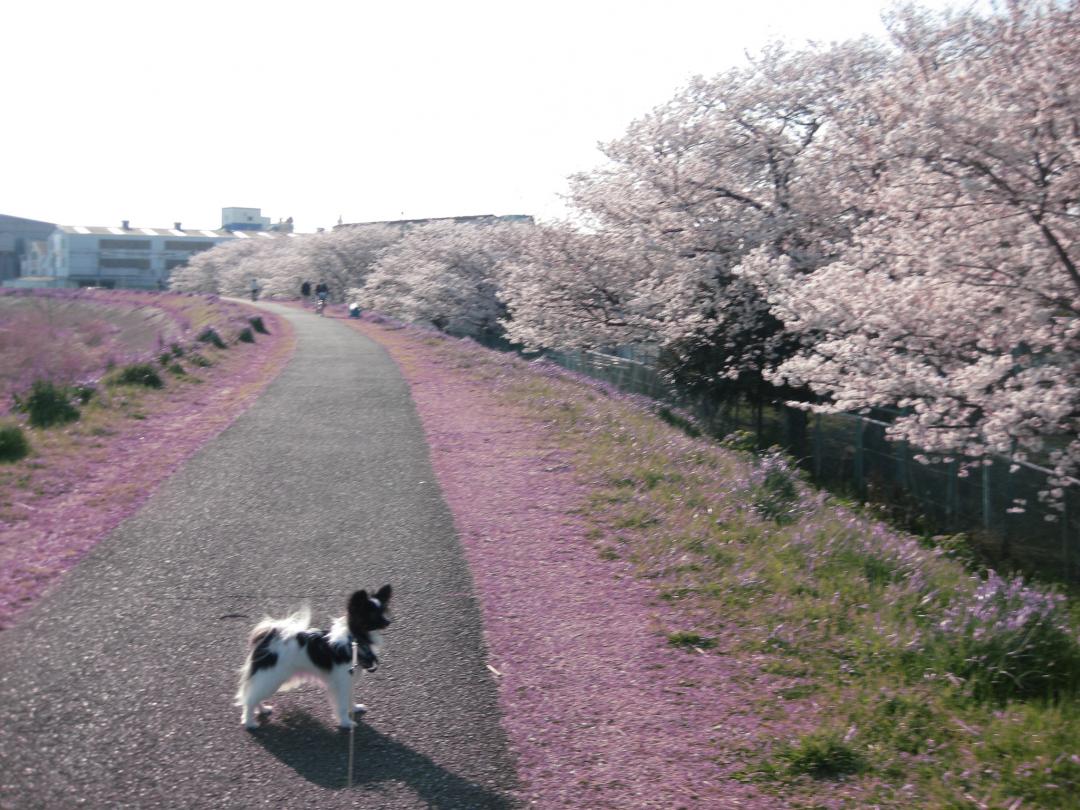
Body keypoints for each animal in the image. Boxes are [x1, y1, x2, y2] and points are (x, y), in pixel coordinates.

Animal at [236, 587, 393, 734]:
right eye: (372, 614)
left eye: (383, 611)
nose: (388, 621)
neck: (354, 640)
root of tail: (268, 638)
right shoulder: (342, 682)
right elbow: (342, 705)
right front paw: (346, 723)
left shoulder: (348, 681)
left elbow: (350, 697)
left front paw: (354, 708)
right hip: (271, 677)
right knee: (250, 699)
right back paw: (250, 722)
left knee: (254, 694)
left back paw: (263, 710)